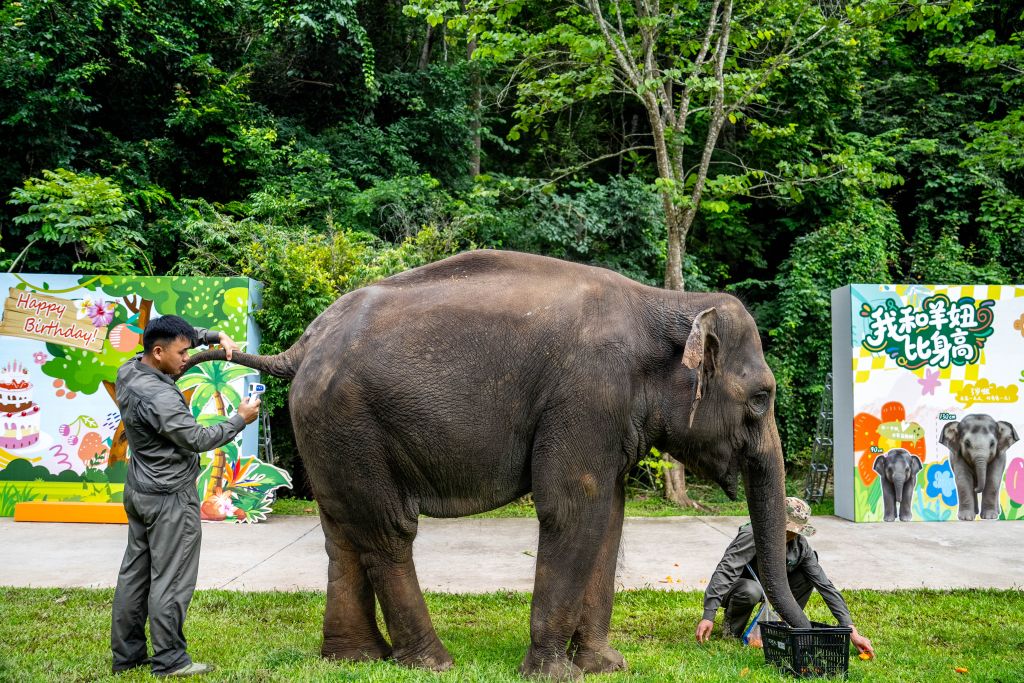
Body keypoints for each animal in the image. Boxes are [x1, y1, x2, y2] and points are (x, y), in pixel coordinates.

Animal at [180, 250, 809, 679]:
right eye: (761, 398)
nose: (803, 641)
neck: (666, 303)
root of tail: (302, 347)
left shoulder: (606, 416)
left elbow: (609, 516)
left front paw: (607, 666)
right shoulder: (586, 396)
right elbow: (572, 511)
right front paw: (555, 674)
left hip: (331, 433)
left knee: (343, 533)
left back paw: (356, 658)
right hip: (350, 420)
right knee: (388, 532)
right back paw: (432, 662)